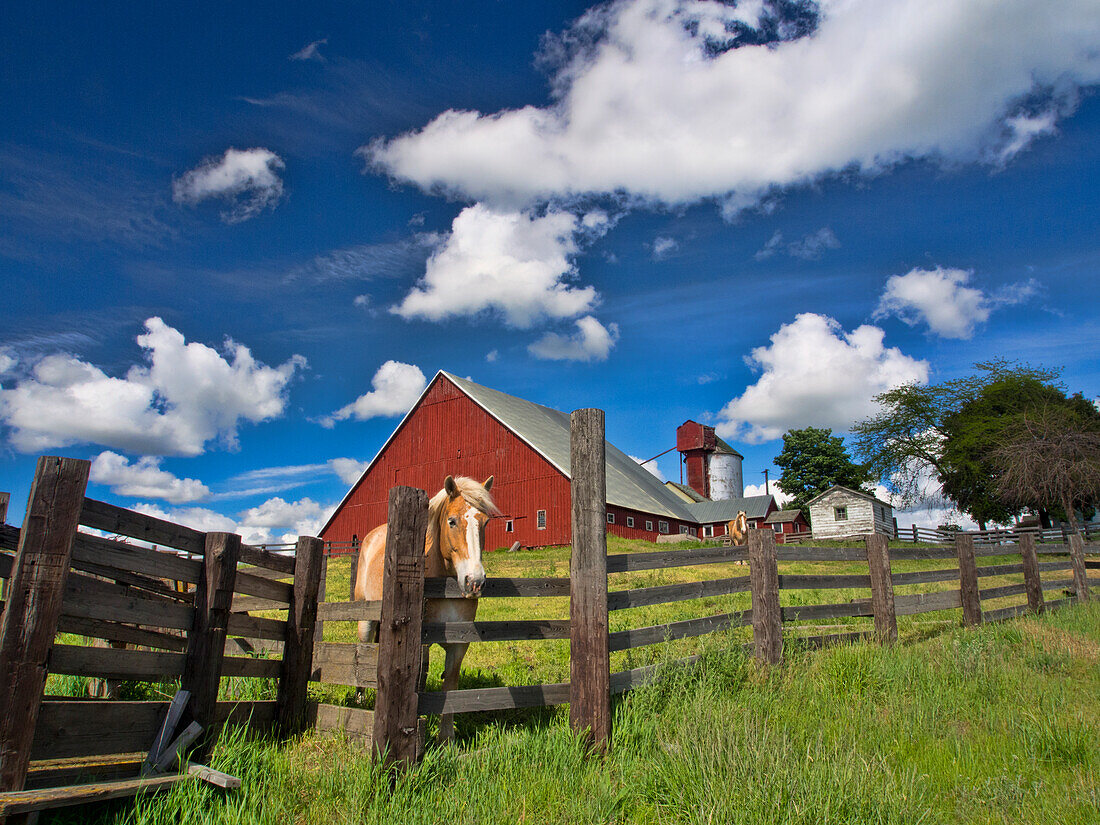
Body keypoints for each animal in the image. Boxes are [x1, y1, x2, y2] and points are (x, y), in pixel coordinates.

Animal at [352, 477, 499, 743]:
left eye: (485, 522)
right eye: (452, 521)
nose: (474, 582)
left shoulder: (459, 643)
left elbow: (450, 684)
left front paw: (446, 737)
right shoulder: (421, 642)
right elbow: (418, 680)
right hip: (365, 620)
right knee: (362, 650)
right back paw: (360, 699)